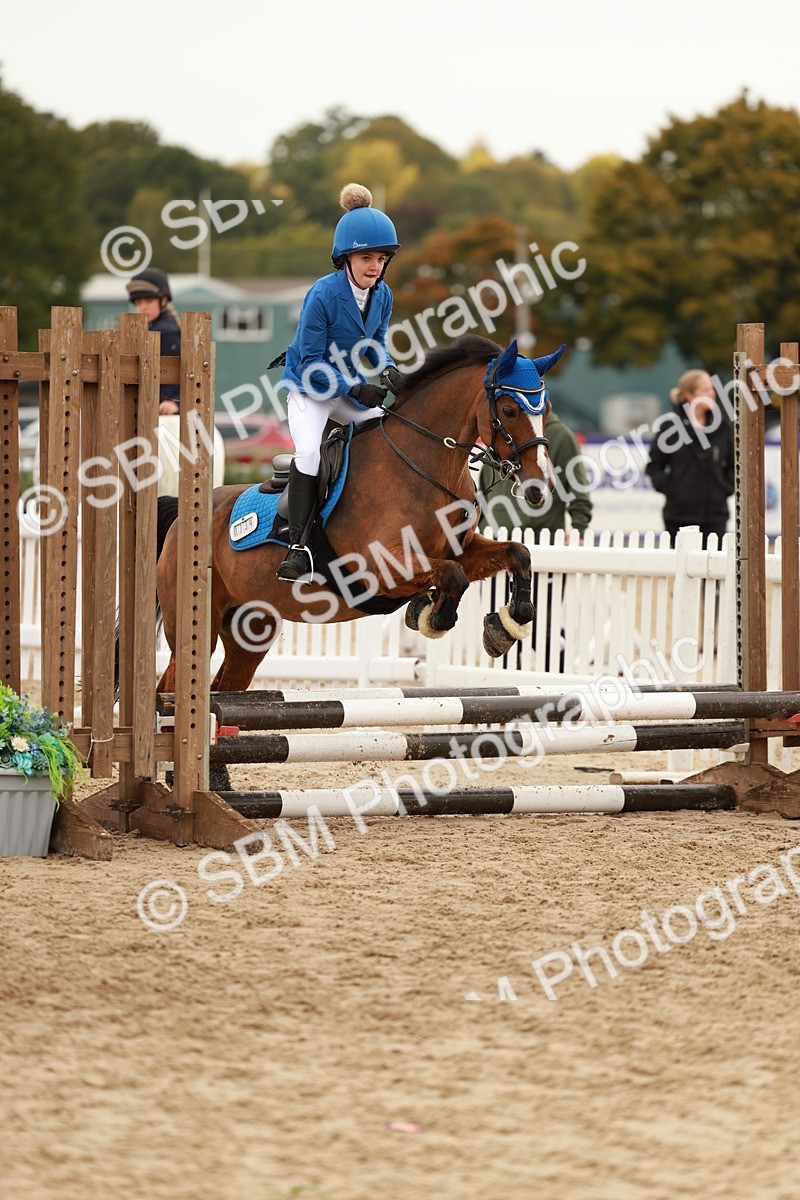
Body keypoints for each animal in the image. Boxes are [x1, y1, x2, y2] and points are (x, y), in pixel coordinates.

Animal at [155, 333, 565, 697]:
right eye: (509, 410)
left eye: (545, 410)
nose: (539, 487)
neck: (423, 466)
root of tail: (181, 518)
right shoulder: (380, 567)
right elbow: (453, 576)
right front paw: (431, 617)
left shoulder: (459, 550)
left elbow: (515, 554)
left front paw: (505, 626)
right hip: (196, 626)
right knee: (171, 686)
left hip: (251, 629)